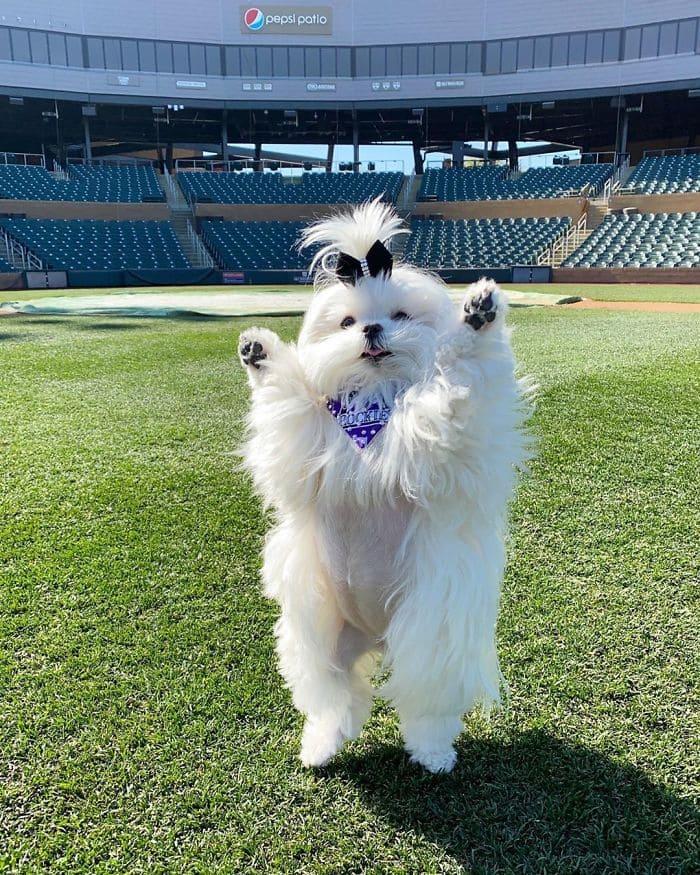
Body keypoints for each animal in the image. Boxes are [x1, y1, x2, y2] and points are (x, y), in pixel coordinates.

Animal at [238, 200, 528, 772]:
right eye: (347, 322)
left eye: (400, 316)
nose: (371, 330)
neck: (374, 399)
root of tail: (376, 638)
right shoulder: (303, 444)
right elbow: (288, 396)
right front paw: (260, 352)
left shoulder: (452, 438)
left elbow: (460, 373)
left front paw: (478, 315)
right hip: (317, 638)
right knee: (338, 698)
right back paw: (323, 746)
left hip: (429, 639)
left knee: (426, 706)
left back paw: (433, 754)